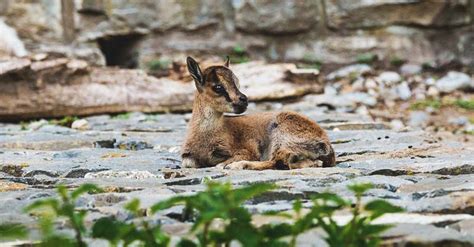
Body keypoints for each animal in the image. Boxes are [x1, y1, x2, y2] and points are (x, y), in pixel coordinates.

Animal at [180, 57, 336, 170]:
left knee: (279, 161)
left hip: (281, 136)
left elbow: (221, 164)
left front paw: (230, 164)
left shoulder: (248, 150)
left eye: (237, 83)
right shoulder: (188, 159)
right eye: (218, 87)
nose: (244, 100)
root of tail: (326, 145)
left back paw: (239, 165)